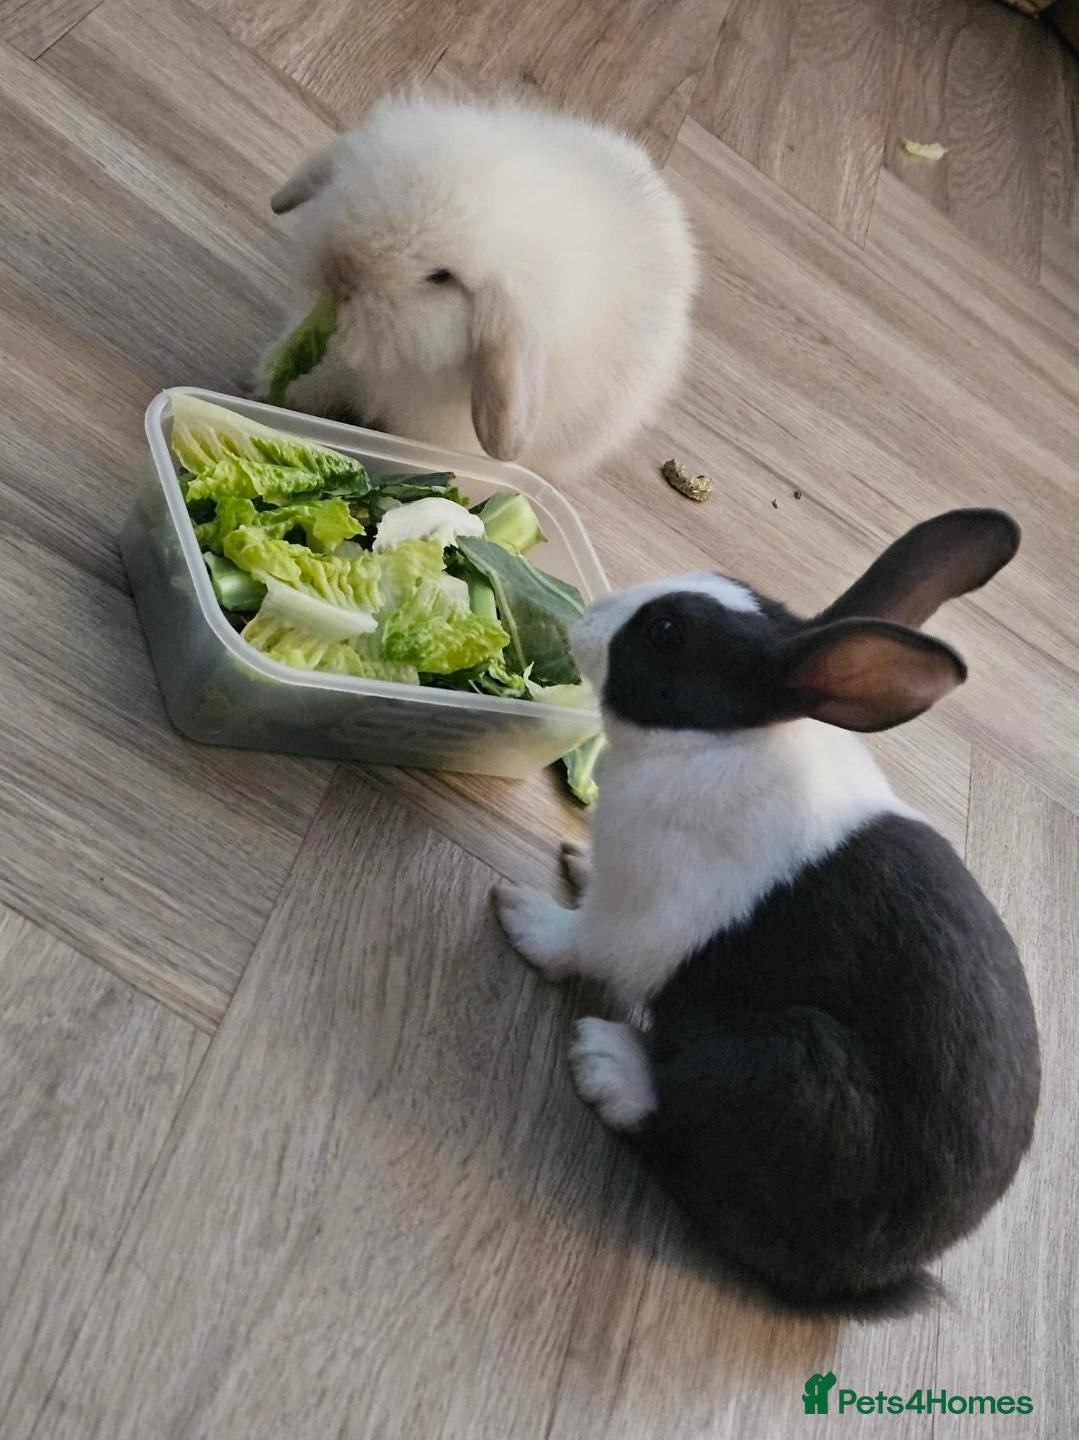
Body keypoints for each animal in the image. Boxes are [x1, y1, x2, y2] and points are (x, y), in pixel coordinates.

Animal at [496, 509, 1041, 1311]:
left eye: (666, 633)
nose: (588, 617)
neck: (717, 741)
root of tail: (867, 1276)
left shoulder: (640, 919)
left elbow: (578, 940)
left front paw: (520, 914)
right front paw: (575, 863)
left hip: (789, 1072)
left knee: (682, 1147)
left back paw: (606, 1064)